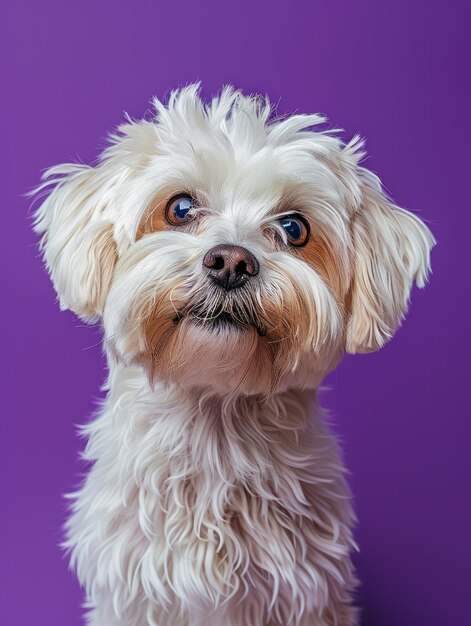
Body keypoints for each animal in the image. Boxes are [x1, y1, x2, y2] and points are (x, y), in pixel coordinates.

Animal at [34, 84, 436, 624]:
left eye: (294, 228)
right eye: (180, 208)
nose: (231, 261)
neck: (215, 428)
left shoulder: (306, 595)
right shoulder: (133, 595)